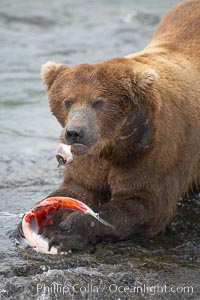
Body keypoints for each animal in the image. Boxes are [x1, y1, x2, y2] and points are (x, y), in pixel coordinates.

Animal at [39, 0, 199, 252]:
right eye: (67, 101)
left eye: (98, 102)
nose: (74, 132)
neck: (116, 144)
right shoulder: (91, 158)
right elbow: (78, 188)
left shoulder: (159, 151)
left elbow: (144, 205)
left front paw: (64, 233)